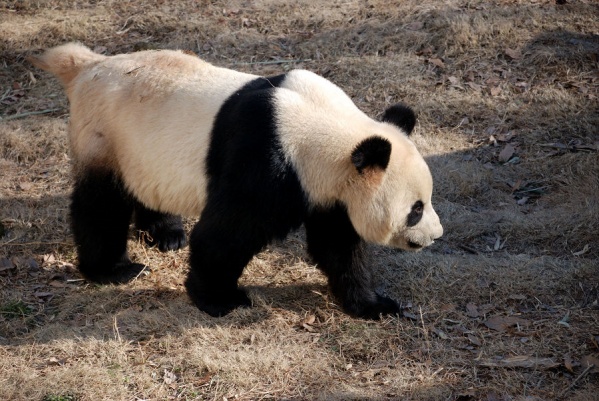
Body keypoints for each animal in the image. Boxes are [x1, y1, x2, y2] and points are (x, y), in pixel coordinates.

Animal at [30, 43, 442, 318]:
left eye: (426, 202)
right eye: (416, 210)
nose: (437, 235)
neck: (330, 129)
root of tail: (87, 66)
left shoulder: (329, 189)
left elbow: (338, 245)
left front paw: (374, 304)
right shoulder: (267, 161)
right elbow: (226, 234)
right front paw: (219, 299)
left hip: (137, 147)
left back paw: (166, 234)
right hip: (102, 134)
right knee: (100, 203)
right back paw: (114, 269)